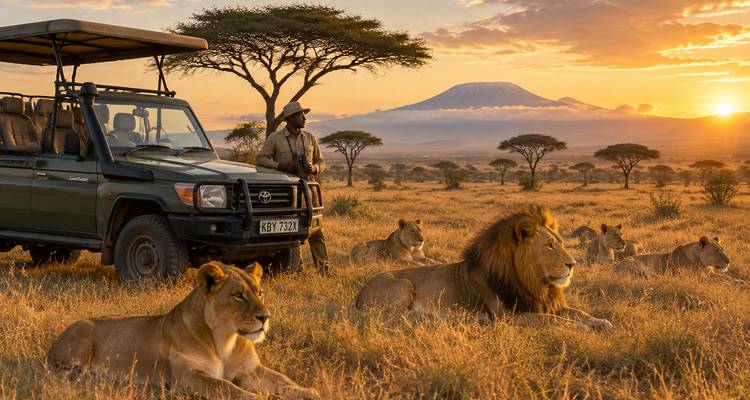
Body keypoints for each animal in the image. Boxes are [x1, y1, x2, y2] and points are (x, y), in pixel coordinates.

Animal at [47, 262, 319, 399]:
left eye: (259, 293)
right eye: (238, 295)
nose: (265, 317)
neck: (226, 339)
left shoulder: (250, 370)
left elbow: (282, 380)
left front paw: (308, 391)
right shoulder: (190, 378)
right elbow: (228, 388)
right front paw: (261, 397)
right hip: (80, 344)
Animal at [355, 206, 612, 331]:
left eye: (560, 242)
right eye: (549, 245)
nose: (573, 264)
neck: (532, 282)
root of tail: (359, 294)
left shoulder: (544, 304)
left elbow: (576, 312)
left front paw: (600, 322)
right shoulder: (509, 316)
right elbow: (554, 321)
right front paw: (582, 328)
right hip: (404, 283)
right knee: (391, 316)